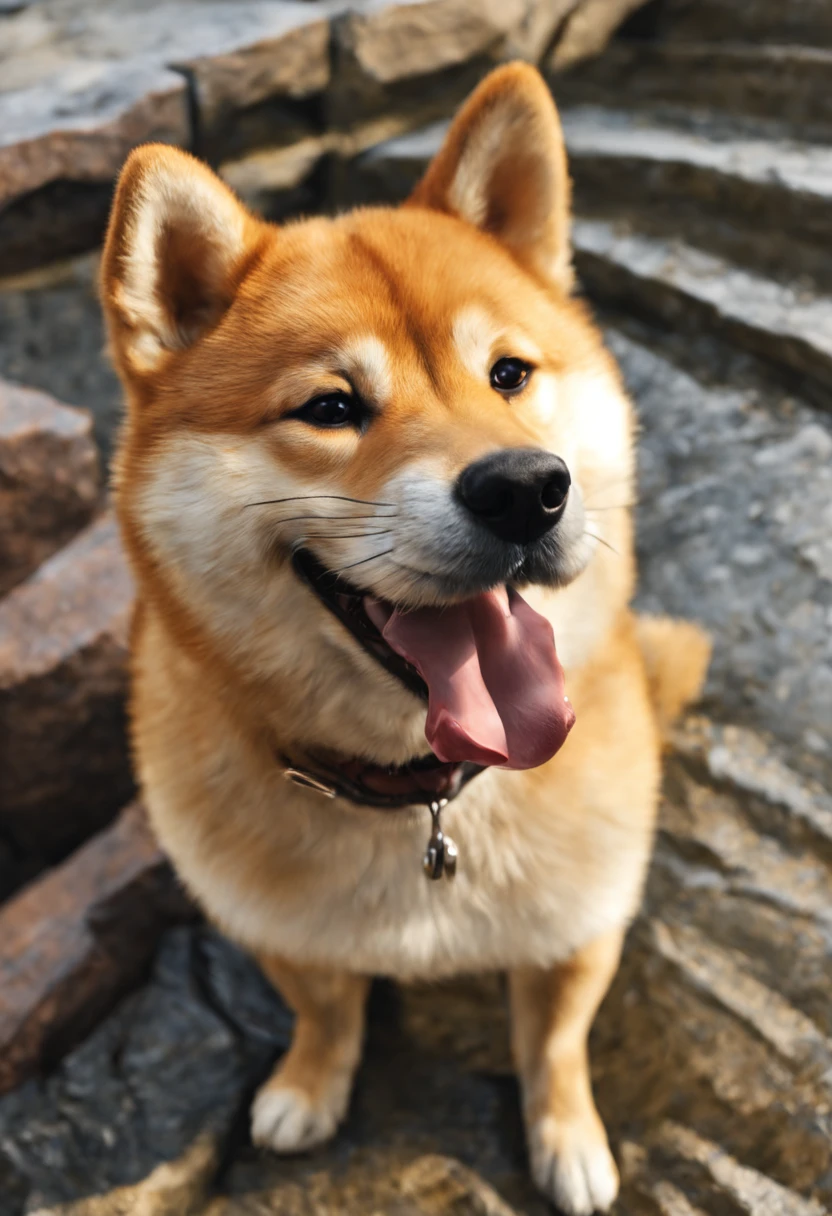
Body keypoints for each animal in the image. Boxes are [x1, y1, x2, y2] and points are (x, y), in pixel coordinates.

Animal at [100, 64, 705, 1216]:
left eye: (509, 374)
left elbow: (553, 1039)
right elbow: (326, 1007)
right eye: (331, 406)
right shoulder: (277, 926)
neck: (421, 798)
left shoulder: (581, 921)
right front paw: (307, 1084)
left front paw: (569, 1141)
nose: (525, 488)